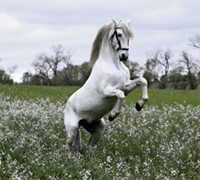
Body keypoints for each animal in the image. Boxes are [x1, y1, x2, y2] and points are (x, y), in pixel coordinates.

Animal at [64, 18, 148, 153]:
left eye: (129, 36)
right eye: (119, 34)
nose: (124, 56)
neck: (113, 65)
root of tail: (67, 105)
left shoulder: (126, 86)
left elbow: (143, 81)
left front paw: (139, 105)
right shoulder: (107, 91)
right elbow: (120, 95)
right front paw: (113, 115)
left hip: (97, 128)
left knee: (89, 146)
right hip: (72, 130)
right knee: (68, 147)